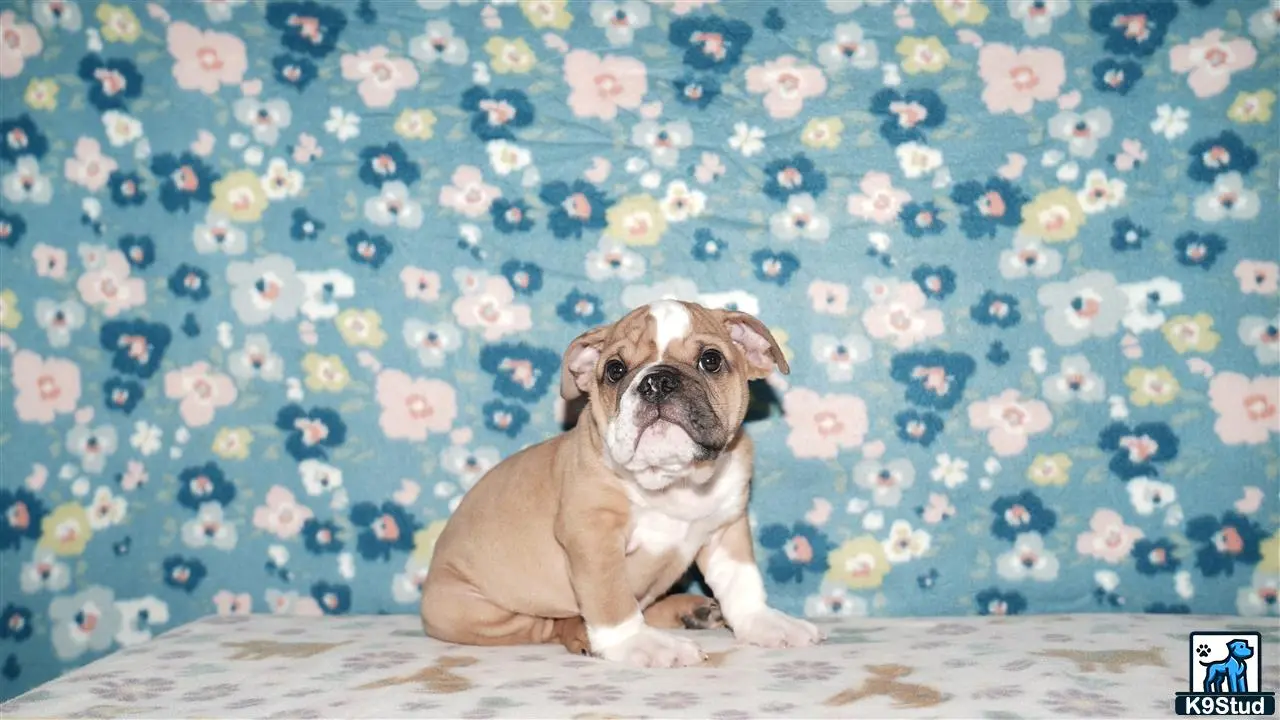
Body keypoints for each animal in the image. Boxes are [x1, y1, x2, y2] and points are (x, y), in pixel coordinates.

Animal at [420, 300, 823, 667]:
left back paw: (689, 610)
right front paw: (640, 644)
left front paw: (764, 622)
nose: (658, 380)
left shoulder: (726, 527)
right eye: (615, 369)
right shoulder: (593, 534)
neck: (673, 481)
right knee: (549, 625)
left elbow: (741, 581)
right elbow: (611, 598)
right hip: (479, 611)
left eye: (711, 360)